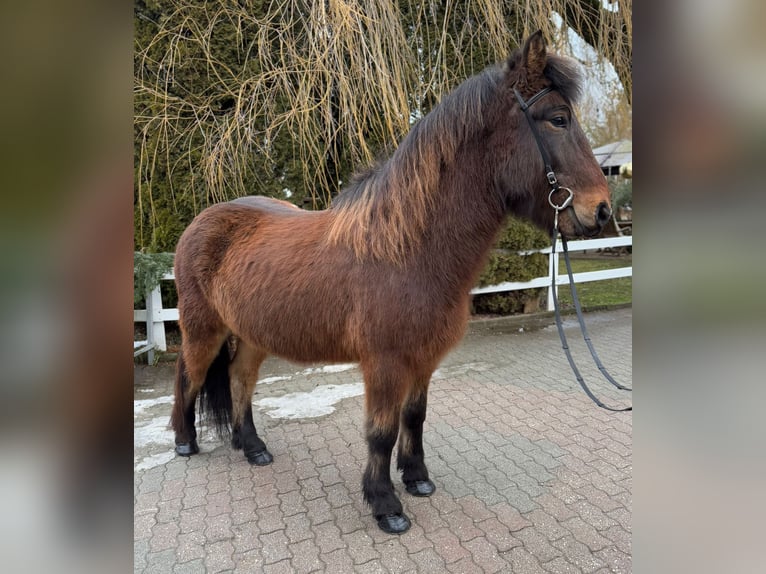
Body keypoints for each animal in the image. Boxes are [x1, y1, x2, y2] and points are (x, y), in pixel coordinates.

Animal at [171, 32, 616, 536]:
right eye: (558, 119)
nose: (602, 210)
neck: (407, 250)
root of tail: (203, 221)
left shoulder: (423, 357)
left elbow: (415, 417)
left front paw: (417, 478)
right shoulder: (384, 363)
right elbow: (381, 432)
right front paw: (385, 504)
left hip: (250, 334)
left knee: (240, 379)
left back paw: (253, 448)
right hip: (203, 328)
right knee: (188, 374)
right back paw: (185, 442)